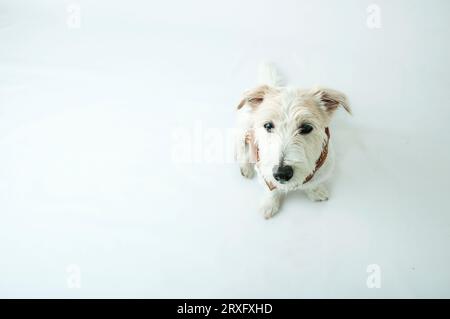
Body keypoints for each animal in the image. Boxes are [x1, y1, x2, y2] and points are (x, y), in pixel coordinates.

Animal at [236, 64, 352, 220]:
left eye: (306, 127)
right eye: (268, 125)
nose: (282, 173)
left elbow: (313, 183)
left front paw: (316, 191)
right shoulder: (264, 171)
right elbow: (271, 189)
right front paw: (269, 204)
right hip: (244, 129)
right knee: (242, 147)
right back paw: (246, 167)